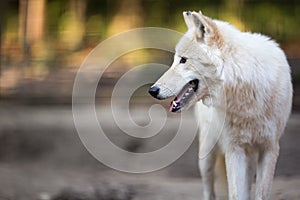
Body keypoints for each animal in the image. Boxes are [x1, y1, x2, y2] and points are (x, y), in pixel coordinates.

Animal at [149, 11, 292, 200]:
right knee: (209, 190)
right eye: (175, 60)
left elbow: (260, 193)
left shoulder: (269, 148)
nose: (152, 90)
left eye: (183, 60)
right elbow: (236, 194)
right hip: (207, 154)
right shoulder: (234, 149)